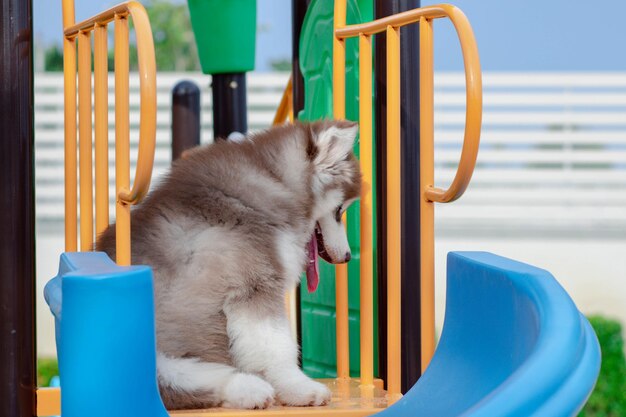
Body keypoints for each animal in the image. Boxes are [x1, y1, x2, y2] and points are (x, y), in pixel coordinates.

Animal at [97, 118, 360, 408]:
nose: (347, 257)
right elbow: (277, 346)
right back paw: (249, 388)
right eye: (339, 211)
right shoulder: (254, 285)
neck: (274, 183)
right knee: (177, 385)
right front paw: (299, 387)